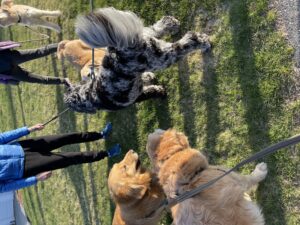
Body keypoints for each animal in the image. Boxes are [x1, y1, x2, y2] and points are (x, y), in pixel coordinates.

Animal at [63, 7, 211, 113]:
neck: (88, 94)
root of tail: (117, 49)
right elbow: (145, 79)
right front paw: (149, 77)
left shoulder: (138, 97)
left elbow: (152, 91)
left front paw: (161, 92)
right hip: (144, 39)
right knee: (155, 29)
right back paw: (171, 23)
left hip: (160, 58)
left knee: (186, 42)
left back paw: (203, 42)